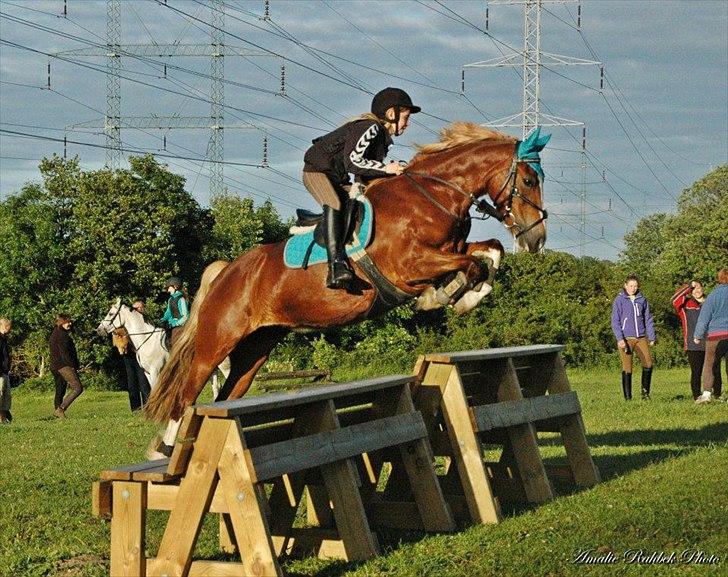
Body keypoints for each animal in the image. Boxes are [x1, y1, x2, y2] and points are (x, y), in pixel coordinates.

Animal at [145, 121, 548, 426]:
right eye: (530, 181)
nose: (537, 238)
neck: (431, 196)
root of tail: (227, 271)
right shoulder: (409, 266)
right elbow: (473, 263)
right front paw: (445, 296)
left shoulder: (451, 249)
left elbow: (490, 251)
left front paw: (462, 294)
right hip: (216, 344)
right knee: (185, 398)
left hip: (255, 349)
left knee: (224, 396)